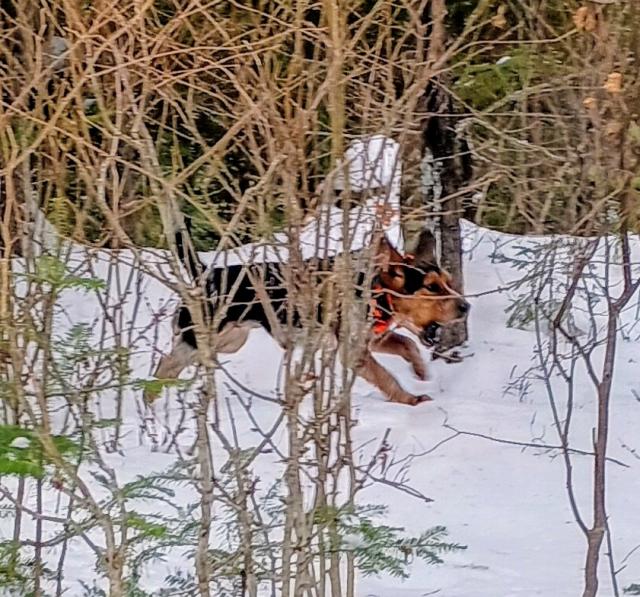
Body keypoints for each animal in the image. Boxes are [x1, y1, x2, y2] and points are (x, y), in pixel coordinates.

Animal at [148, 225, 469, 406]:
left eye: (448, 282)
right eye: (431, 287)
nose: (466, 307)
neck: (375, 288)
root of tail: (205, 274)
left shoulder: (371, 340)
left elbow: (408, 344)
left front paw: (421, 371)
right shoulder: (354, 352)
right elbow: (387, 377)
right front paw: (410, 399)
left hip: (231, 341)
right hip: (200, 339)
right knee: (165, 365)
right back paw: (150, 401)